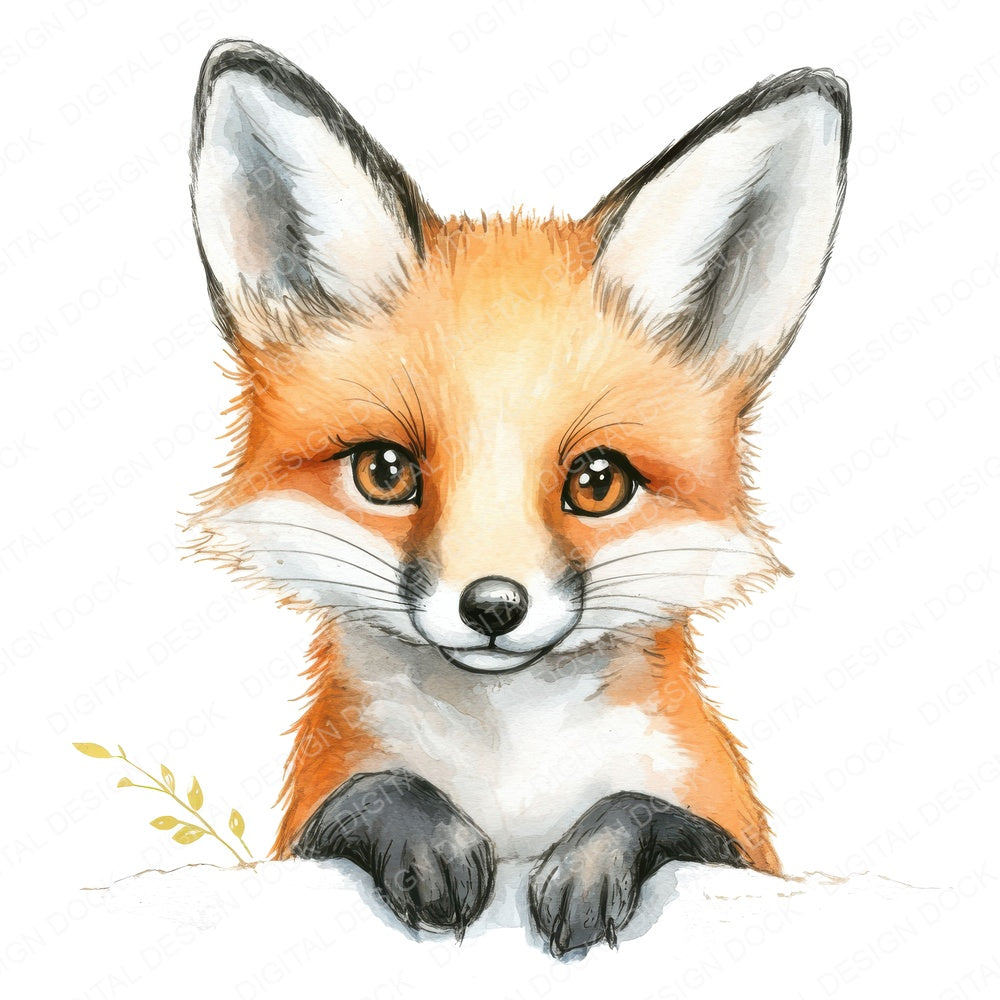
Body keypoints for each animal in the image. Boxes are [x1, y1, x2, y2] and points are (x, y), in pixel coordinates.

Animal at [187, 40, 850, 955]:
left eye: (598, 483)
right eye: (385, 472)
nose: (493, 607)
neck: (509, 768)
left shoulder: (730, 833)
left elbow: (641, 808)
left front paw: (589, 866)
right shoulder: (312, 815)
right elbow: (377, 790)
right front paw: (429, 843)